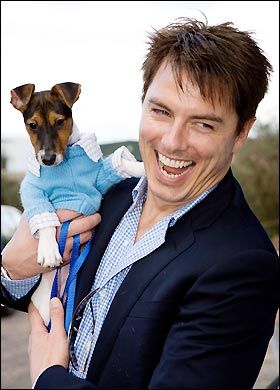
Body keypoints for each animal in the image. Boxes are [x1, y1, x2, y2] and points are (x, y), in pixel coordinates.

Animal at [10, 82, 144, 326]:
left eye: (60, 122)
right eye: (32, 125)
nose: (47, 160)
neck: (67, 162)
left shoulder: (99, 177)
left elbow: (121, 164)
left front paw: (143, 168)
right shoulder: (32, 189)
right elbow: (44, 217)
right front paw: (48, 249)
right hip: (48, 308)